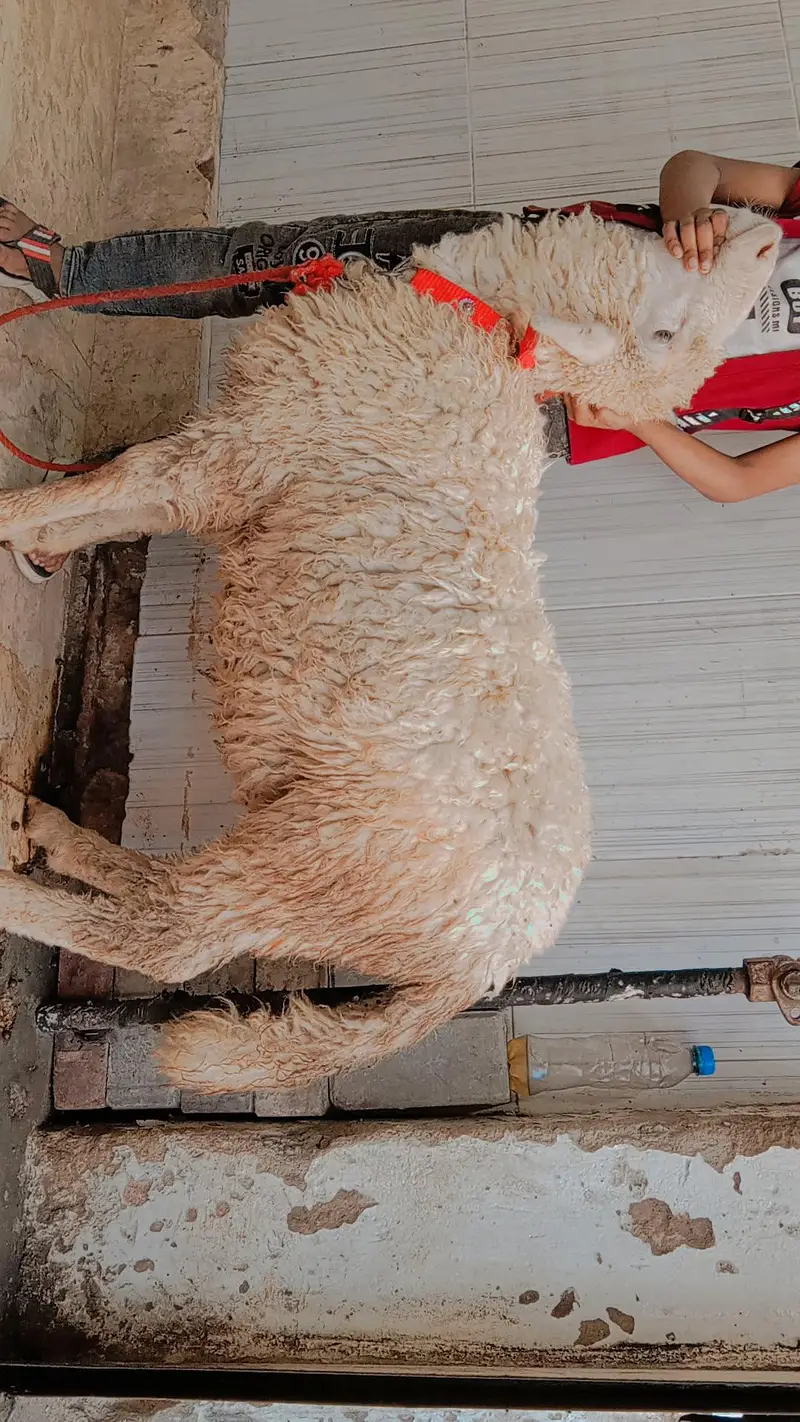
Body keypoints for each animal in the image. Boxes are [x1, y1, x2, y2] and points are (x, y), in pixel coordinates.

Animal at [0, 206, 779, 1095]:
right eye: (667, 332)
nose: (767, 240)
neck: (474, 320)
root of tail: (489, 962)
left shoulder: (245, 449)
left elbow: (114, 480)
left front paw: (10, 520)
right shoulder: (240, 460)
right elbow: (117, 502)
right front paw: (38, 543)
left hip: (333, 855)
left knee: (172, 933)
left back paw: (16, 890)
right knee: (164, 895)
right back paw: (48, 830)